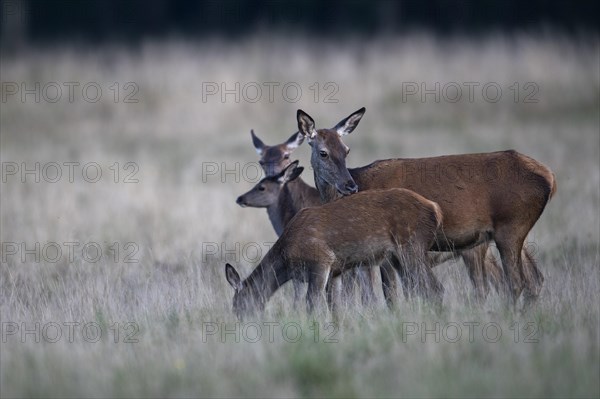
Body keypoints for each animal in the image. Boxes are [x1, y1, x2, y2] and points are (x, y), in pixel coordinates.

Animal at [227, 187, 442, 318]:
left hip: (412, 244)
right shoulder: (336, 271)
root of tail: (435, 209)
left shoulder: (321, 259)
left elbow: (312, 303)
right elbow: (335, 306)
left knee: (434, 287)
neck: (286, 259)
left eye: (239, 303)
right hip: (397, 256)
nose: (242, 323)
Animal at [298, 107, 556, 310]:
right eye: (323, 152)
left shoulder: (384, 249)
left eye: (346, 150)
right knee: (535, 279)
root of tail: (550, 178)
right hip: (514, 232)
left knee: (516, 282)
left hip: (511, 226)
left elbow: (391, 296)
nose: (349, 186)